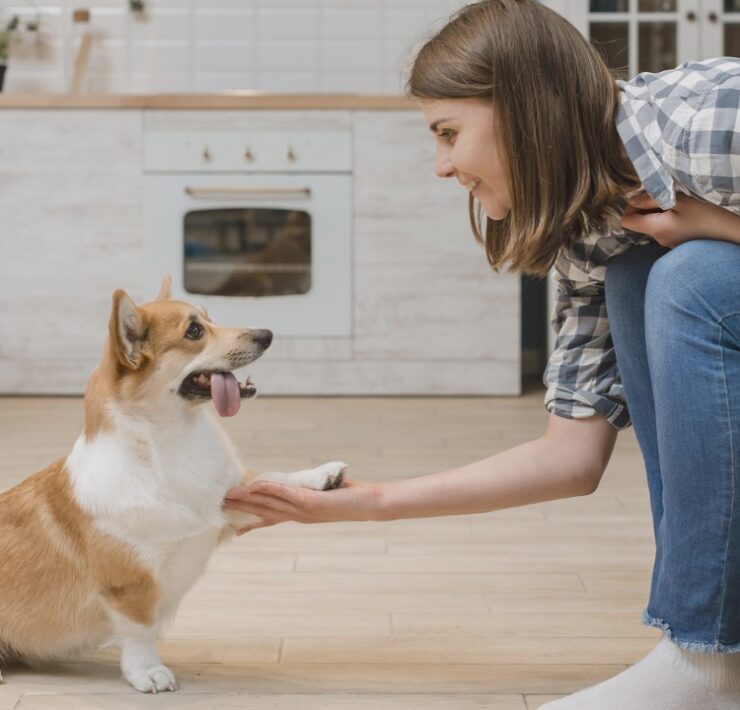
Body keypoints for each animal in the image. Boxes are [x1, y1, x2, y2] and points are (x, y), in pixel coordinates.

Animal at [0, 276, 346, 696]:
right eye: (194, 332)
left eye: (210, 318)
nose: (267, 334)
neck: (171, 441)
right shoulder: (130, 585)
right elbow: (140, 632)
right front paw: (148, 672)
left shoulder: (228, 503)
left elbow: (272, 477)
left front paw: (321, 476)